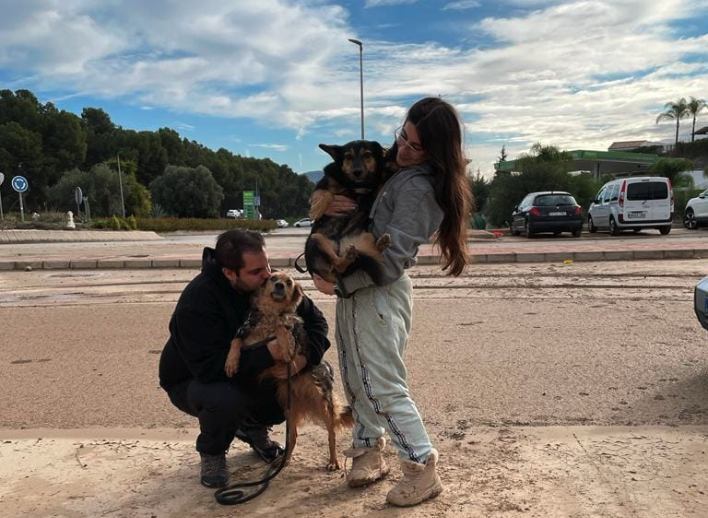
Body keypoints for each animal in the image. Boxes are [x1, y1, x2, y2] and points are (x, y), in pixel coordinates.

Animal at [224, 274, 352, 474]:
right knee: (293, 436)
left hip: (322, 403)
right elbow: (235, 341)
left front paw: (284, 344)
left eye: (289, 282)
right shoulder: (248, 340)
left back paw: (333, 461)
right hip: (287, 407)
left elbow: (282, 328)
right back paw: (284, 461)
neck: (271, 313)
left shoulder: (292, 339)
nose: (279, 285)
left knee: (331, 434)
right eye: (272, 278)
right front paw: (230, 362)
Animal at [304, 141, 392, 284]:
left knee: (370, 255)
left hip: (366, 238)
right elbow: (326, 193)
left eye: (367, 155)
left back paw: (381, 243)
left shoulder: (373, 193)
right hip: (315, 239)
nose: (357, 172)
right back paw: (349, 256)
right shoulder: (321, 186)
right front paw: (316, 209)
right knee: (338, 264)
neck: (354, 185)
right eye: (348, 157)